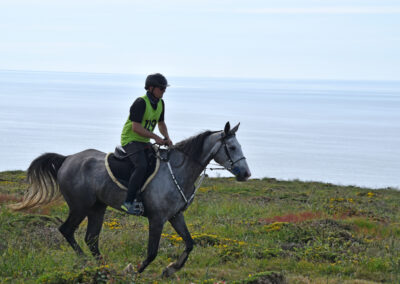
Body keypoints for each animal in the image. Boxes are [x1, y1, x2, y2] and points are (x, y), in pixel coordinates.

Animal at [9, 122, 250, 278]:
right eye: (232, 147)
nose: (246, 174)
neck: (178, 171)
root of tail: (67, 159)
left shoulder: (175, 216)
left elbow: (190, 243)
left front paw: (170, 268)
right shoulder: (157, 218)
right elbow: (152, 252)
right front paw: (134, 270)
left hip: (97, 208)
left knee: (91, 239)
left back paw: (103, 268)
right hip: (80, 207)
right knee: (67, 231)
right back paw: (87, 262)